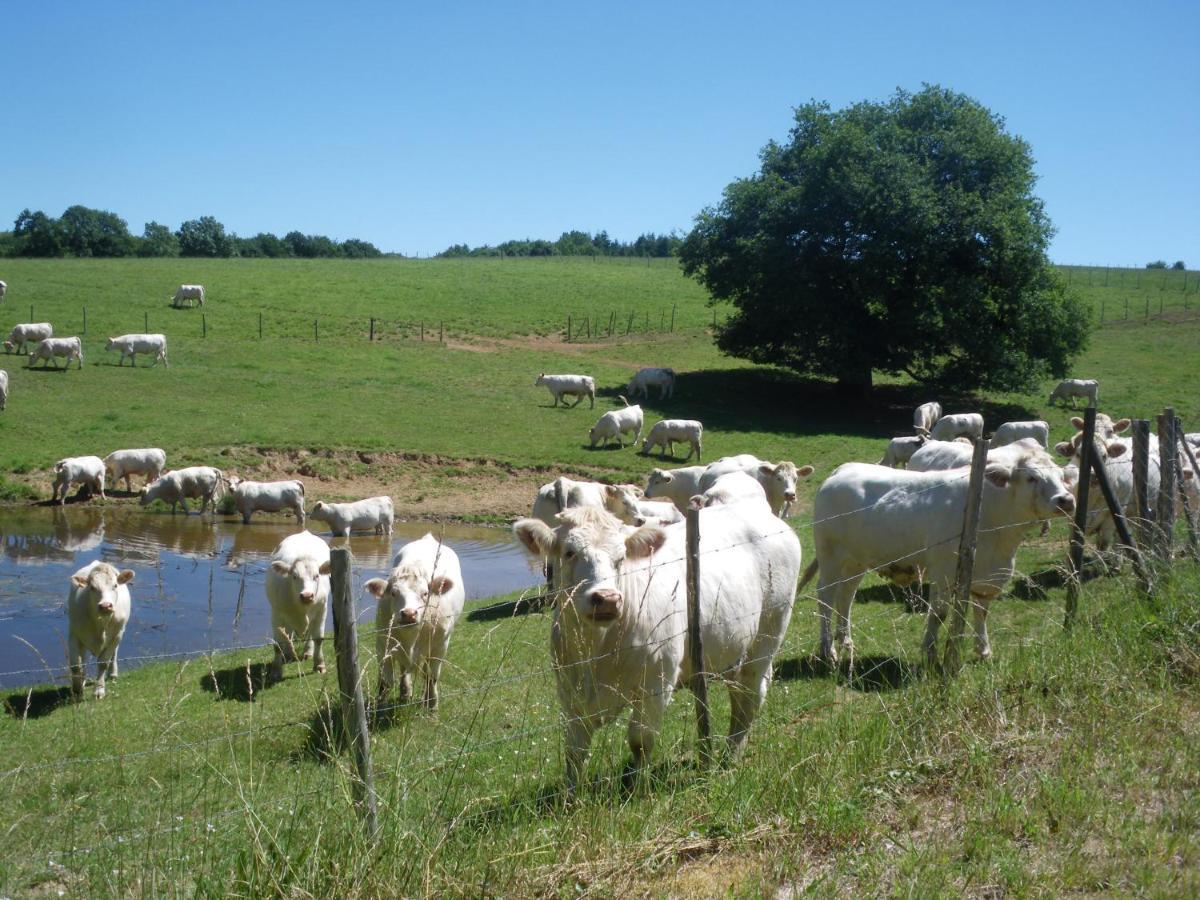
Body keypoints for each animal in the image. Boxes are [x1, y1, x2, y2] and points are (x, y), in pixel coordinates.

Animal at [67, 564, 134, 705]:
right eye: (92, 587)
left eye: (115, 585)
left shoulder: (117, 635)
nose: (105, 606)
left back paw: (113, 674)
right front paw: (77, 689)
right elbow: (75, 664)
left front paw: (99, 691)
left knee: (114, 654)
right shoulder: (74, 633)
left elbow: (103, 663)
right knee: (83, 658)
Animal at [265, 528, 331, 681]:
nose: (307, 595)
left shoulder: (322, 609)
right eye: (294, 576)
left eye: (317, 576)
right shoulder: (276, 613)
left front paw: (319, 665)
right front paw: (276, 671)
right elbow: (278, 644)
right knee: (288, 634)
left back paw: (308, 652)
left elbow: (318, 639)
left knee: (309, 633)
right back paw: (288, 654)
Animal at [362, 535, 465, 710]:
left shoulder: (440, 646)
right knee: (404, 669)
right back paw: (405, 692)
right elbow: (385, 681)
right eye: (393, 593)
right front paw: (381, 707)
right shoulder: (383, 645)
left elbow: (431, 676)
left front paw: (432, 705)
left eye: (425, 593)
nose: (409, 613)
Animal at [511, 504, 801, 792]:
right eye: (570, 552)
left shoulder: (656, 683)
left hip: (769, 633)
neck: (598, 649)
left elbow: (640, 740)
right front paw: (571, 795)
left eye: (621, 557)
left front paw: (637, 789)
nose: (607, 599)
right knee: (738, 695)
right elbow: (574, 749)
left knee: (752, 693)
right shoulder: (570, 691)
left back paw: (732, 755)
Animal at [806, 451, 1080, 672]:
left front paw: (983, 650)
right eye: (1031, 477)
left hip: (856, 561)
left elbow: (981, 612)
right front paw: (930, 653)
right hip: (830, 556)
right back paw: (828, 651)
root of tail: (843, 469)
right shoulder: (943, 569)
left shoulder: (987, 575)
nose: (1066, 500)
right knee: (826, 597)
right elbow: (939, 613)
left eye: (1061, 476)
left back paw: (846, 642)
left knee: (846, 596)